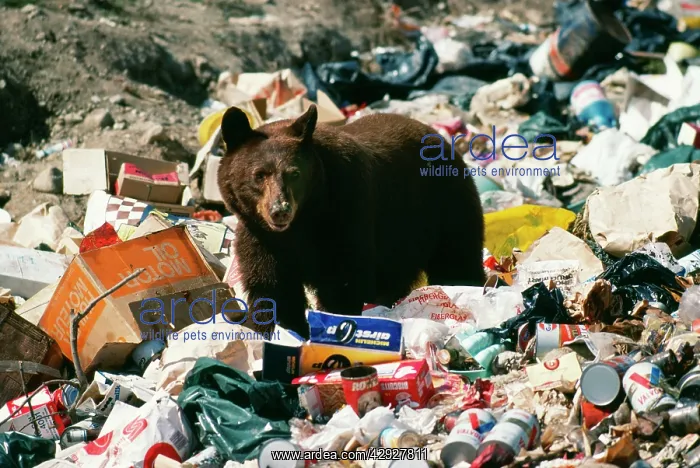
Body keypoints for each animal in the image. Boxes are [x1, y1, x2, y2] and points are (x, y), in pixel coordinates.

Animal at [217, 104, 485, 338]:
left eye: (295, 174)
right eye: (259, 175)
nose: (279, 210)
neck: (302, 224)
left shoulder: (346, 211)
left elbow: (343, 280)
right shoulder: (259, 236)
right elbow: (273, 287)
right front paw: (279, 332)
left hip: (445, 206)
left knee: (457, 258)